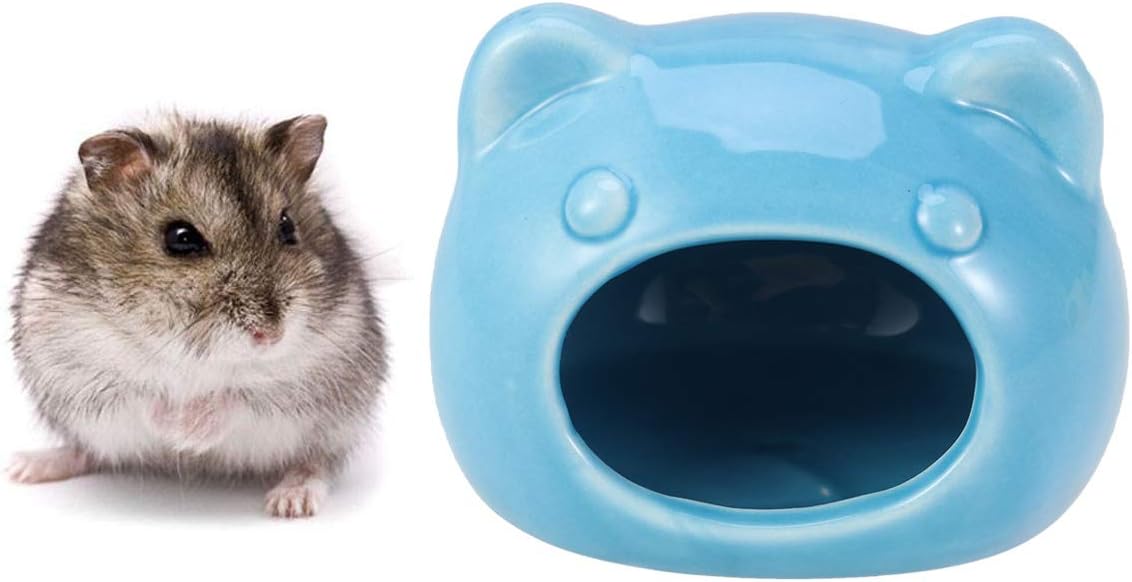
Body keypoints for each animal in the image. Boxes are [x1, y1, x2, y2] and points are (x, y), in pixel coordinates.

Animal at [7, 113, 387, 518]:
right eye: (181, 237)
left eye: (288, 226)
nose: (271, 335)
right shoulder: (81, 368)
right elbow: (143, 396)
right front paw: (179, 434)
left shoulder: (316, 371)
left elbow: (239, 398)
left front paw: (190, 435)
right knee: (89, 451)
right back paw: (25, 467)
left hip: (336, 425)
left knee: (318, 461)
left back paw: (291, 500)